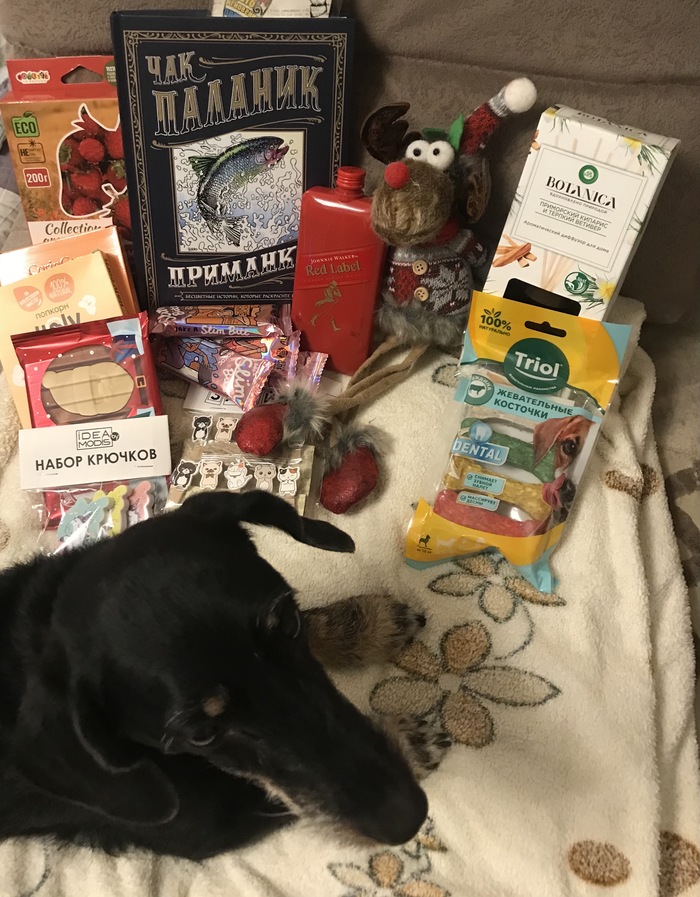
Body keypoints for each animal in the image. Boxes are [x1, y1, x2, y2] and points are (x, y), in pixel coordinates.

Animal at [0, 492, 438, 860]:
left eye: (290, 623)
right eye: (201, 735)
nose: (409, 819)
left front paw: (370, 625)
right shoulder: (205, 824)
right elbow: (278, 800)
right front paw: (412, 739)